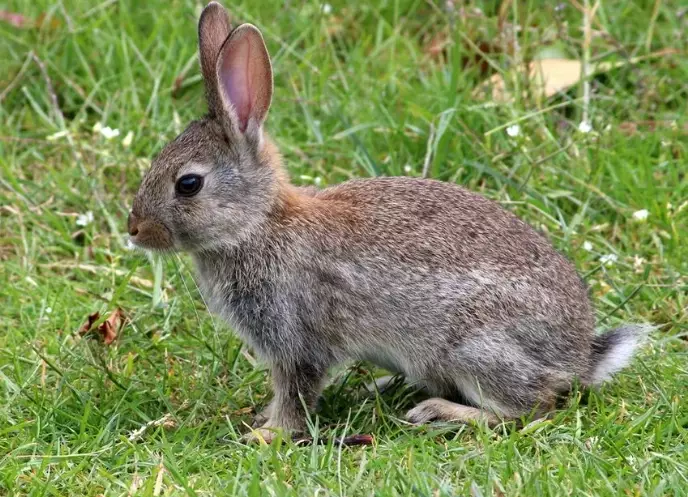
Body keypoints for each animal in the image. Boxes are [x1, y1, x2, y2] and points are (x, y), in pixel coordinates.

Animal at [127, 2, 651, 442]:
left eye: (188, 184)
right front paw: (261, 421)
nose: (135, 229)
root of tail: (581, 356)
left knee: (531, 406)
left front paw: (267, 436)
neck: (258, 226)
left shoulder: (298, 338)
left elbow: (296, 392)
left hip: (476, 348)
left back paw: (438, 411)